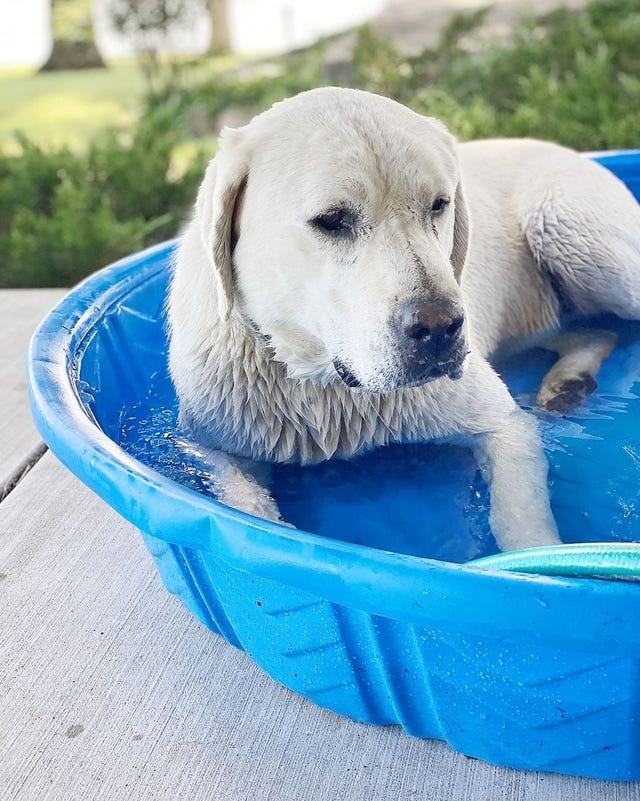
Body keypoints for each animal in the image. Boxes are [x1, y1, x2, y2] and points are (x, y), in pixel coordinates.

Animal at [168, 86, 640, 552]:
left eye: (438, 205)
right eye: (332, 220)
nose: (440, 327)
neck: (326, 390)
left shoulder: (504, 426)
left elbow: (520, 520)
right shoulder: (218, 446)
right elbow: (244, 504)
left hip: (567, 227)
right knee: (591, 332)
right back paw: (568, 382)